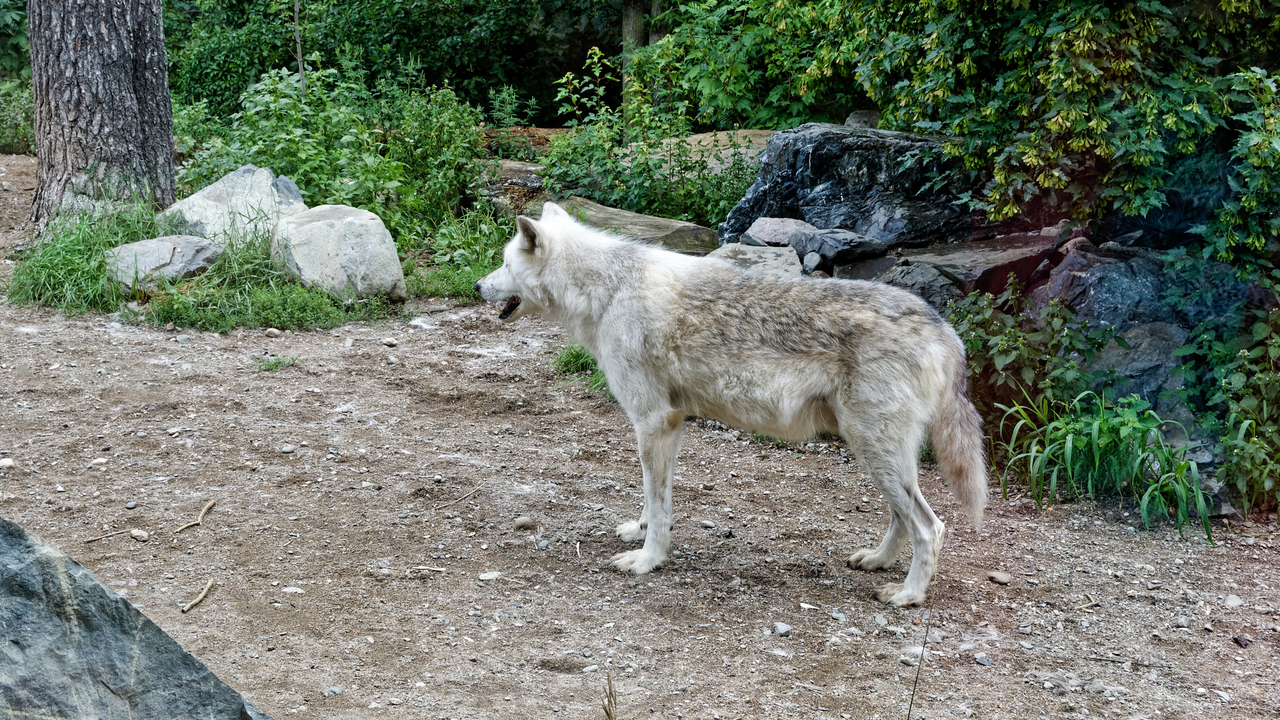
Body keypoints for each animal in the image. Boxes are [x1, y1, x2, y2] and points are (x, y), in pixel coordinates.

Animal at [476, 203, 987, 606]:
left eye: (502, 263)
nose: (478, 286)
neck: (609, 289)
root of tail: (944, 328)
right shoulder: (669, 425)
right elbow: (654, 498)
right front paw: (641, 532)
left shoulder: (651, 421)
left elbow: (658, 503)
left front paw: (647, 560)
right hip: (878, 455)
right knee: (904, 518)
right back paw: (878, 561)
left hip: (874, 451)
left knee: (930, 527)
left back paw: (909, 594)